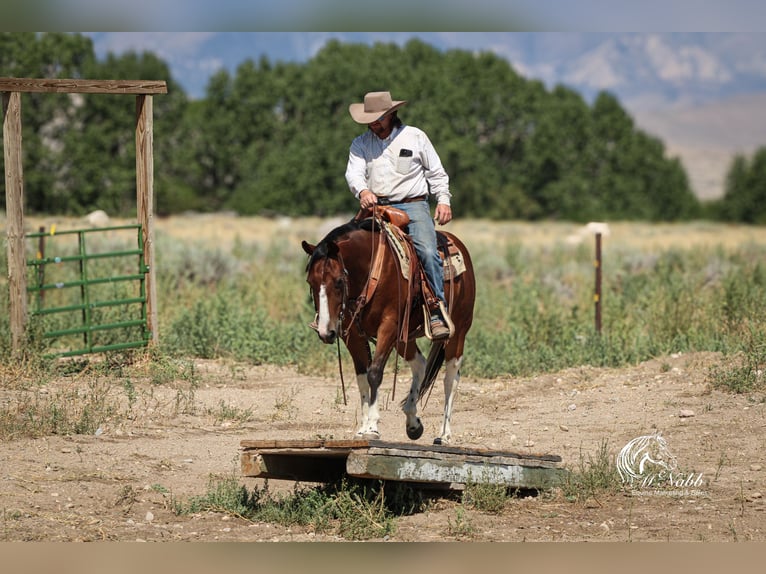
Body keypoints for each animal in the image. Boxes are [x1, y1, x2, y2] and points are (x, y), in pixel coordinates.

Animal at [301, 209, 475, 444]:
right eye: (310, 282)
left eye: (338, 281)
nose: (325, 332)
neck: (371, 270)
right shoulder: (353, 335)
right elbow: (362, 377)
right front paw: (362, 428)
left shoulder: (389, 326)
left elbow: (374, 373)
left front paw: (372, 427)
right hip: (404, 338)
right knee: (420, 364)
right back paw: (412, 422)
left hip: (457, 333)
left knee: (451, 378)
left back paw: (444, 435)